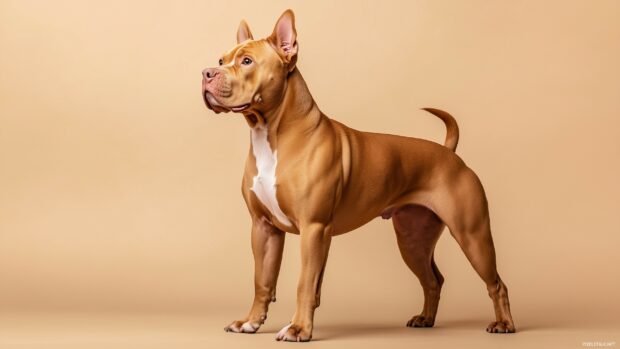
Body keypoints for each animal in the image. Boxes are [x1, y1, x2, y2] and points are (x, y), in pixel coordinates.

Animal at [201, 8, 516, 342]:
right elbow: (262, 280)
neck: (269, 132)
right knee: (433, 280)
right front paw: (250, 322)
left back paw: (504, 324)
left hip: (472, 235)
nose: (207, 73)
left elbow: (305, 283)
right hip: (413, 239)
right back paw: (426, 319)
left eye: (247, 61)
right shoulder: (263, 229)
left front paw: (299, 328)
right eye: (221, 60)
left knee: (496, 283)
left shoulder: (314, 229)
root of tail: (449, 153)